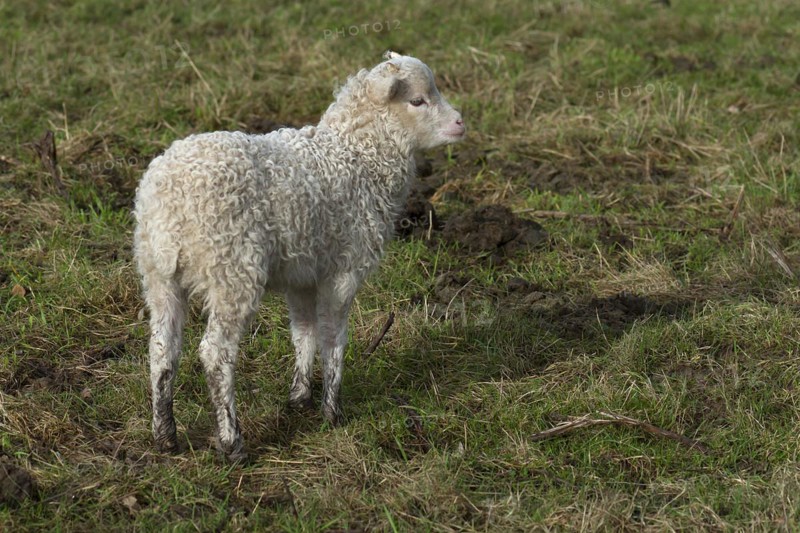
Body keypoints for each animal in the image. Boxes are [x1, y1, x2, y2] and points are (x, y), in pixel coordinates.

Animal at [133, 51, 465, 461]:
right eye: (417, 101)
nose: (460, 123)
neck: (356, 157)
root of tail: (169, 195)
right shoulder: (344, 268)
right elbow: (333, 339)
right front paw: (332, 412)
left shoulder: (303, 273)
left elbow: (303, 333)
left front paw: (300, 398)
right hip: (232, 270)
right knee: (215, 354)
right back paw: (231, 442)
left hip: (158, 273)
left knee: (162, 351)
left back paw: (165, 435)